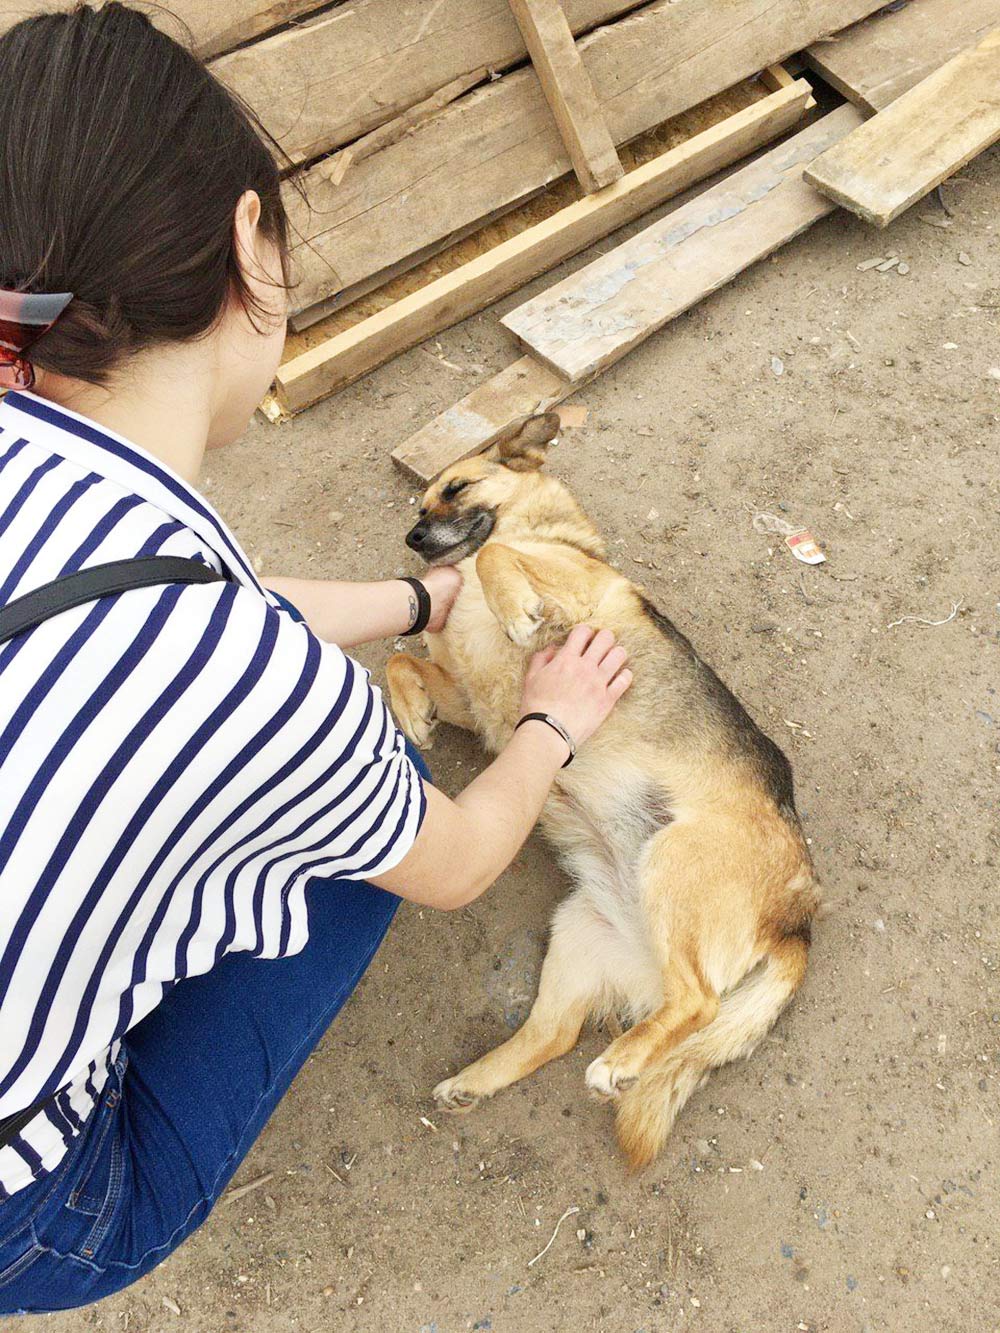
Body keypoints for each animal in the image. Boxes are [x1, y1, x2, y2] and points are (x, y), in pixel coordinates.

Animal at [386, 413, 816, 1167]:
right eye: (419, 506)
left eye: (456, 489)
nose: (412, 539)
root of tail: (798, 919)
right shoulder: (476, 699)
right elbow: (397, 658)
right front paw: (412, 713)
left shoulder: (566, 606)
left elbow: (499, 564)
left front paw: (512, 606)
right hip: (578, 930)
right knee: (554, 1035)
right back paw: (474, 1080)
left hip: (673, 861)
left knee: (698, 1004)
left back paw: (619, 1062)